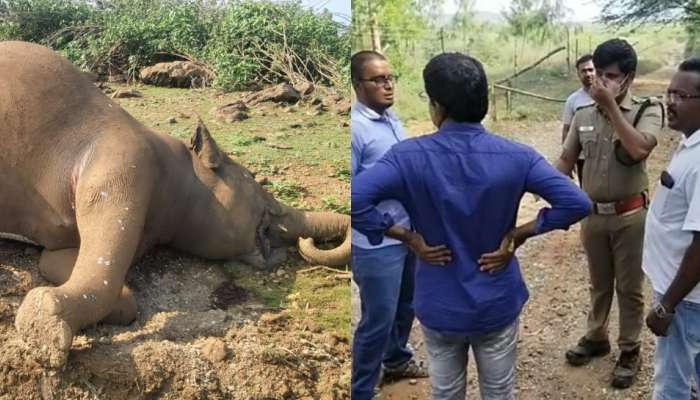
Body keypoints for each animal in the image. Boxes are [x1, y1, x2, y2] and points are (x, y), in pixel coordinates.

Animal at [0, 42, 350, 368]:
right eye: (255, 183)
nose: (303, 240)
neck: (177, 167)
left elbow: (53, 261)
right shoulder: (123, 168)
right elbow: (103, 284)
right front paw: (43, 324)